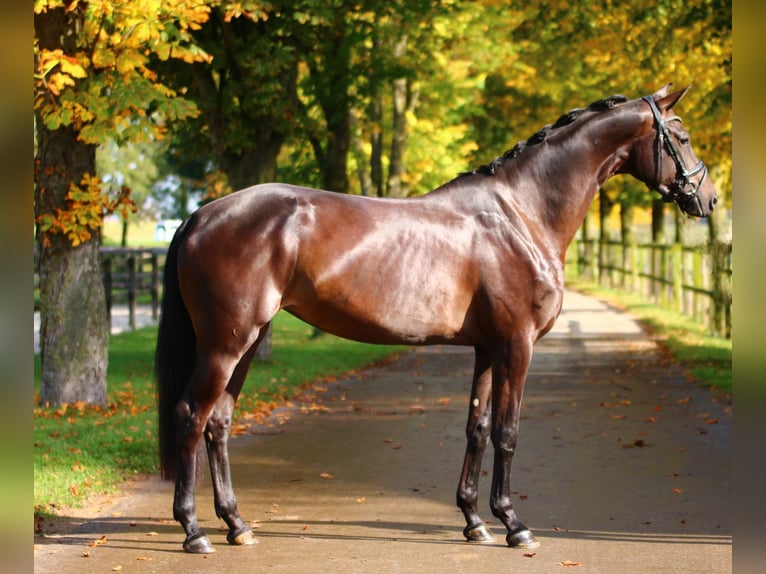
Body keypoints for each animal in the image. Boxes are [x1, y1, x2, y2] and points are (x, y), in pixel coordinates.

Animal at [154, 84, 720, 552]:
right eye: (683, 137)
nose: (708, 199)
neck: (520, 213)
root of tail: (201, 214)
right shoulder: (518, 345)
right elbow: (508, 431)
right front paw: (514, 524)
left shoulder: (489, 348)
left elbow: (478, 426)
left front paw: (475, 521)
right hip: (225, 345)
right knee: (191, 416)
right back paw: (194, 531)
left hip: (248, 342)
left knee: (219, 423)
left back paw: (237, 525)